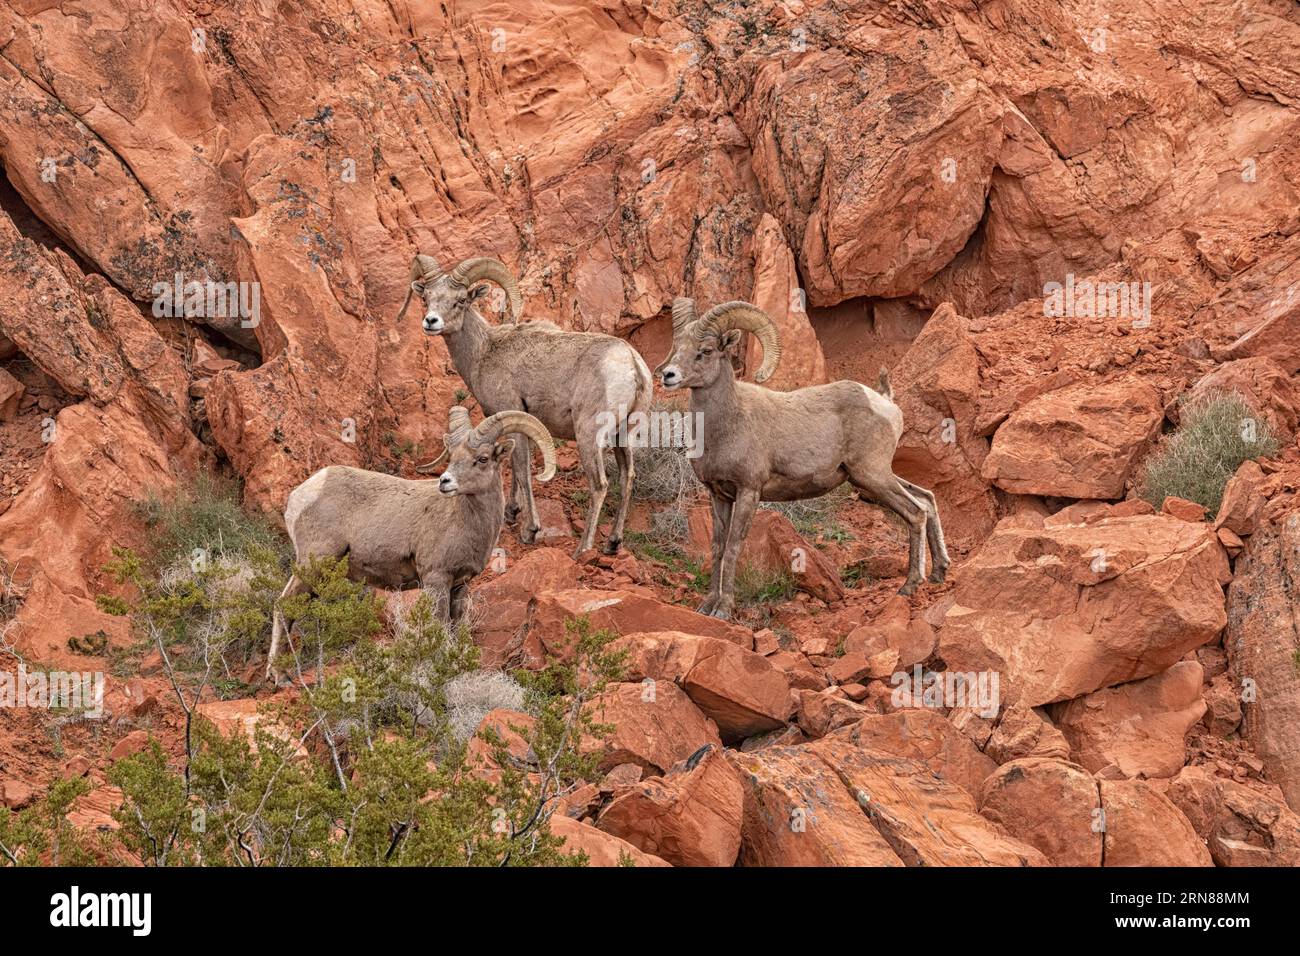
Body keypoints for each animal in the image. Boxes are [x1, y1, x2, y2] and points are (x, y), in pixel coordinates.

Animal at [269, 403, 553, 681]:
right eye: (452, 456)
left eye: (482, 458)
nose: (445, 482)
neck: (463, 520)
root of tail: (301, 495)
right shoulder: (436, 579)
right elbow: (439, 627)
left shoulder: (460, 585)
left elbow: (456, 627)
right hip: (315, 562)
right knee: (284, 605)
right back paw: (279, 675)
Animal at [392, 251, 650, 556]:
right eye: (427, 297)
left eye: (461, 300)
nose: (431, 321)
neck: (484, 352)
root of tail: (632, 364)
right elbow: (513, 468)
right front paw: (512, 513)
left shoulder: (514, 413)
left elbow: (523, 471)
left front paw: (530, 531)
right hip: (624, 435)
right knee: (627, 478)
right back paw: (612, 543)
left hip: (589, 434)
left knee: (599, 484)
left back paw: (582, 550)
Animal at [660, 295, 946, 616]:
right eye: (677, 346)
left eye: (705, 351)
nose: (668, 376)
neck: (726, 424)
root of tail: (884, 401)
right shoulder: (719, 495)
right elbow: (717, 547)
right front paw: (707, 606)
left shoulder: (748, 491)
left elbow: (734, 547)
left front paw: (724, 609)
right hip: (875, 477)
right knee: (927, 499)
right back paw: (939, 572)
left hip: (872, 476)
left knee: (915, 512)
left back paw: (910, 586)